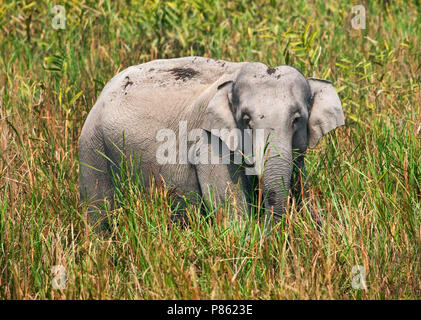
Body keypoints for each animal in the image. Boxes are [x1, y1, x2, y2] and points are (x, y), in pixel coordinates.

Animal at [79, 56, 344, 231]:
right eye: (246, 120)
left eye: (296, 119)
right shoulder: (208, 142)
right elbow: (230, 212)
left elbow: (303, 192)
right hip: (92, 148)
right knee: (99, 214)